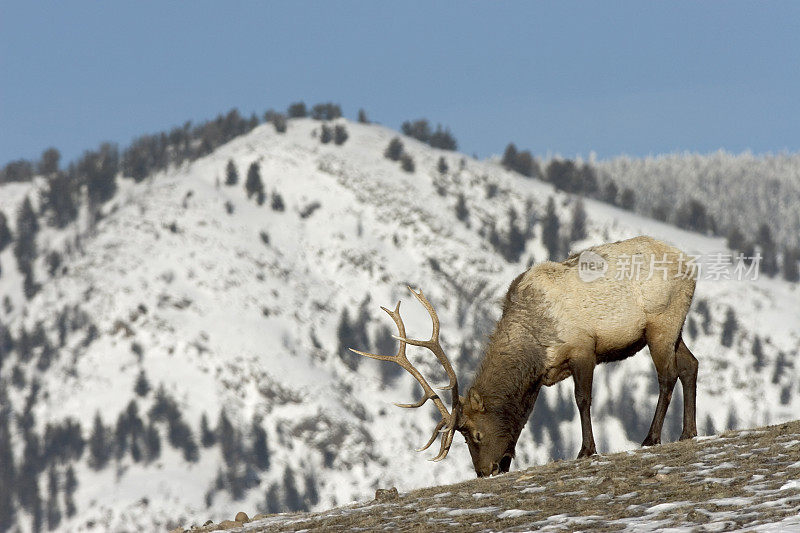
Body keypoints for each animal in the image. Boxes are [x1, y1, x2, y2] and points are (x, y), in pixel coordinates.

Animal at [352, 235, 700, 476]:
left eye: (476, 434)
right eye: (464, 438)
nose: (483, 472)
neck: (532, 346)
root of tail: (691, 265)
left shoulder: (582, 347)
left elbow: (583, 399)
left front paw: (586, 450)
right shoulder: (540, 377)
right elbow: (524, 417)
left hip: (662, 322)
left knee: (667, 375)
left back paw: (651, 438)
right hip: (675, 327)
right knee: (690, 365)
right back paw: (688, 432)